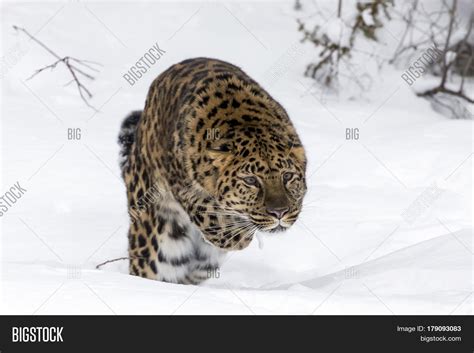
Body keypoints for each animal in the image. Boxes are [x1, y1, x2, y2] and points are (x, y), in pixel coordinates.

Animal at [116, 57, 306, 284]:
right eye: (251, 180)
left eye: (287, 176)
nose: (279, 212)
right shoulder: (189, 194)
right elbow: (221, 227)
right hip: (155, 239)